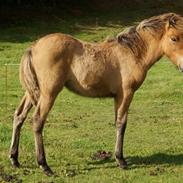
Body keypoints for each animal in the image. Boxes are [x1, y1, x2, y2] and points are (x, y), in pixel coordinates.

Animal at [9, 12, 183, 175]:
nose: (182, 66)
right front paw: (121, 160)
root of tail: (33, 47)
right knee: (37, 120)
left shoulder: (117, 97)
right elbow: (121, 124)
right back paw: (44, 165)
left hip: (32, 91)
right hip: (49, 92)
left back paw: (14, 159)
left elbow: (117, 122)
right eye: (174, 38)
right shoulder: (126, 94)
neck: (132, 53)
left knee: (19, 116)